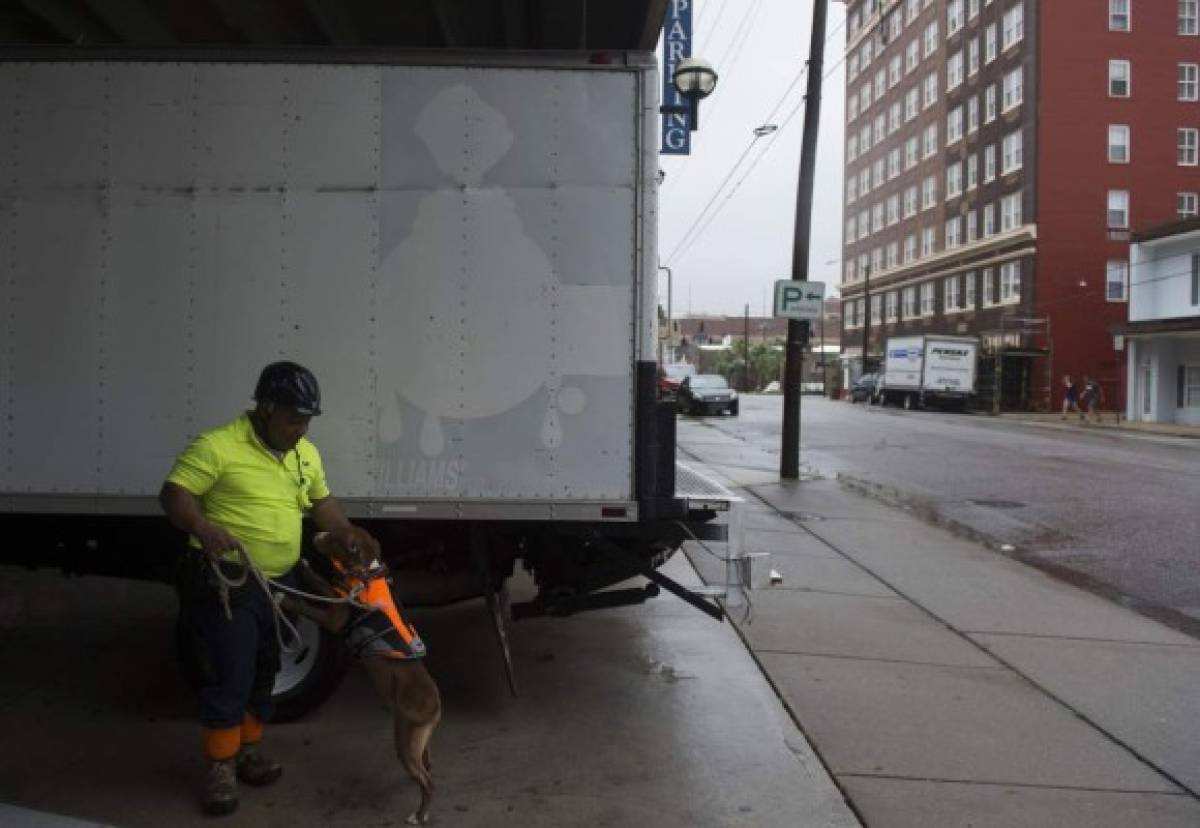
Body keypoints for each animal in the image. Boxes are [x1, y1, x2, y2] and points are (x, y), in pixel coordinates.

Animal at [283, 532, 444, 820]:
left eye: (333, 539)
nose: (316, 534)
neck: (366, 573)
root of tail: (434, 706)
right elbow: (326, 586)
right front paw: (306, 568)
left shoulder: (335, 616)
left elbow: (318, 599)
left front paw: (290, 595)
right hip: (419, 739)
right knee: (427, 764)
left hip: (404, 741)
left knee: (427, 781)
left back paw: (419, 814)